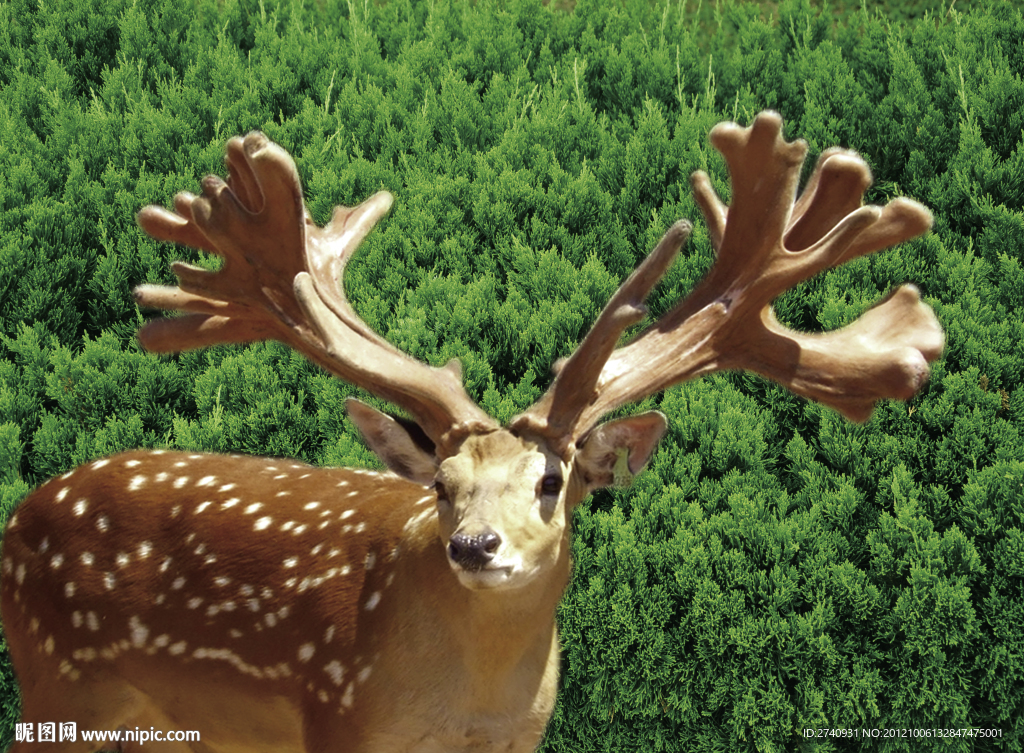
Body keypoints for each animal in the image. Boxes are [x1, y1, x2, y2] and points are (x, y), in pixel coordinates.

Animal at [2, 111, 943, 753]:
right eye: (441, 485)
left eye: (553, 480)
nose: (475, 545)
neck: (472, 707)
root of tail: (22, 513)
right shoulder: (337, 718)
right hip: (57, 685)